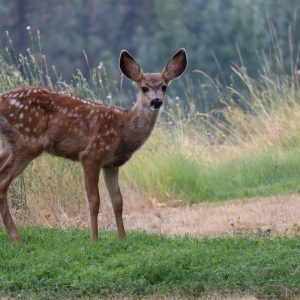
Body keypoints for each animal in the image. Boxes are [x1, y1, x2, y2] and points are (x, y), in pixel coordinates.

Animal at [0, 48, 186, 243]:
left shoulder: (111, 164)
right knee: (3, 181)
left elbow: (118, 201)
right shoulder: (92, 154)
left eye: (164, 86)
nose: (156, 101)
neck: (123, 130)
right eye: (144, 88)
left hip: (9, 144)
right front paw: (95, 239)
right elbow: (94, 200)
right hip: (27, 141)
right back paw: (15, 237)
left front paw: (122, 238)